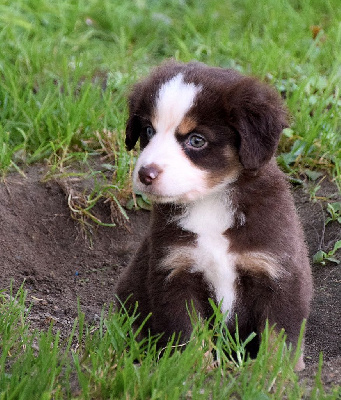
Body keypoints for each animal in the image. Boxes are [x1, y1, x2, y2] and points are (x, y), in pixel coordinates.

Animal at [115, 60, 312, 372]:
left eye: (196, 140)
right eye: (148, 131)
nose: (146, 174)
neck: (210, 202)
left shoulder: (279, 271)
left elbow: (279, 335)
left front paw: (271, 372)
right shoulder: (175, 271)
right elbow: (188, 331)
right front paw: (197, 370)